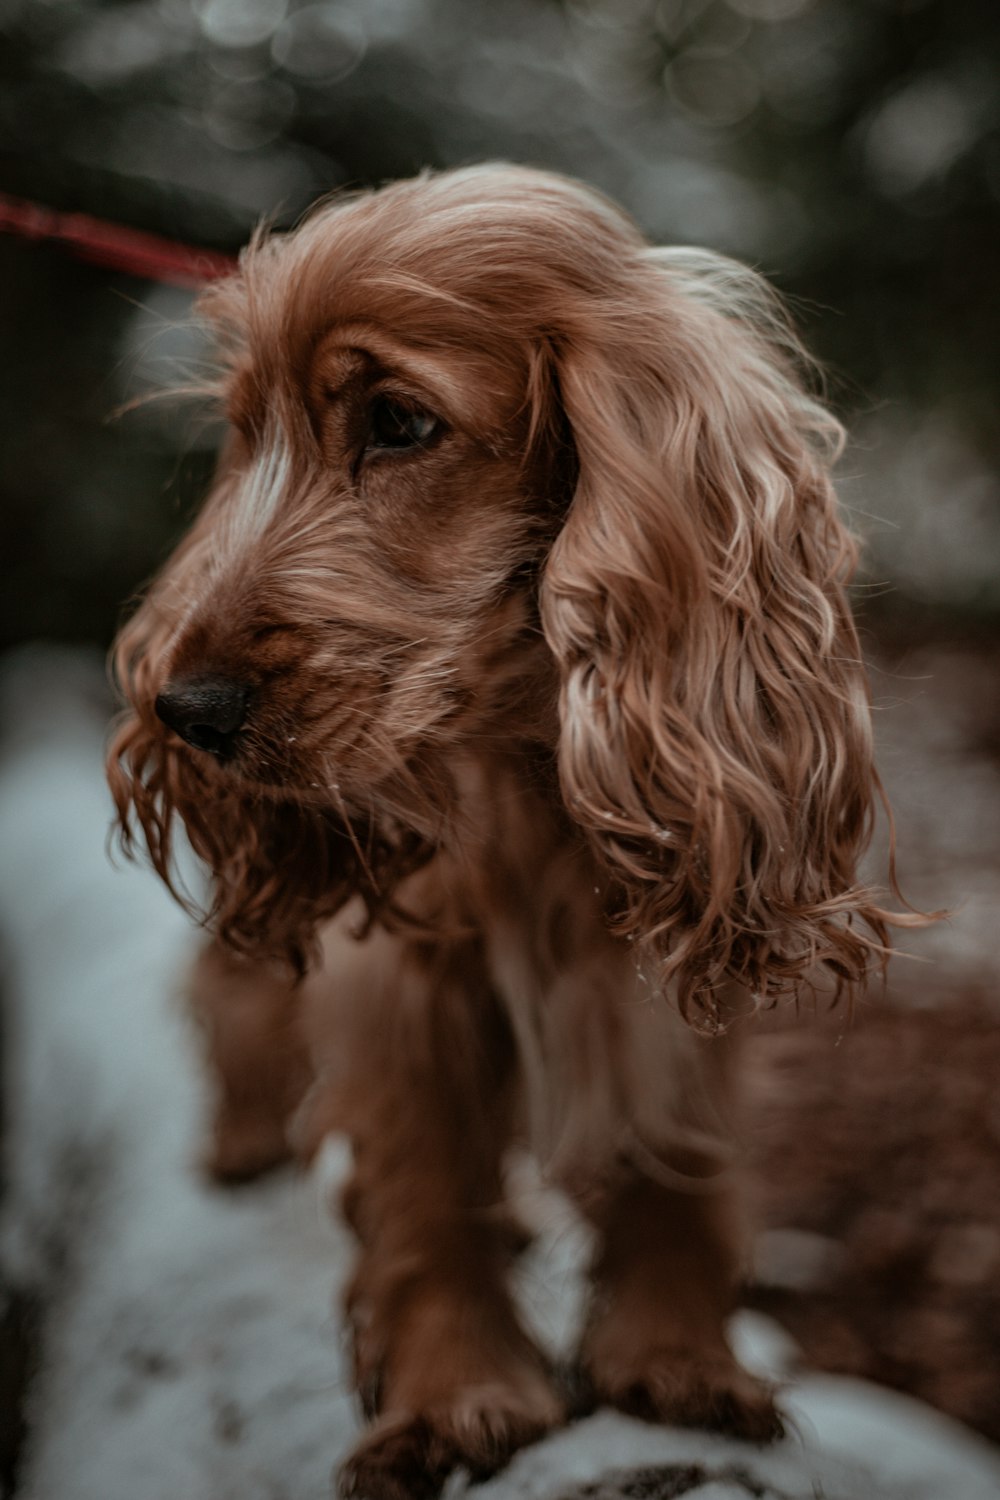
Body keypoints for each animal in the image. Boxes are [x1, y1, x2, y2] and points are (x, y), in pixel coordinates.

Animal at [107, 158, 899, 1494]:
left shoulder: (672, 949)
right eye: (245, 432)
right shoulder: (400, 975)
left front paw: (679, 1364)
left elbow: (673, 1158)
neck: (525, 759)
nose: (185, 708)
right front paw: (456, 1396)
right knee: (236, 992)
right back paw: (244, 1135)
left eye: (398, 423)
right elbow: (427, 1191)